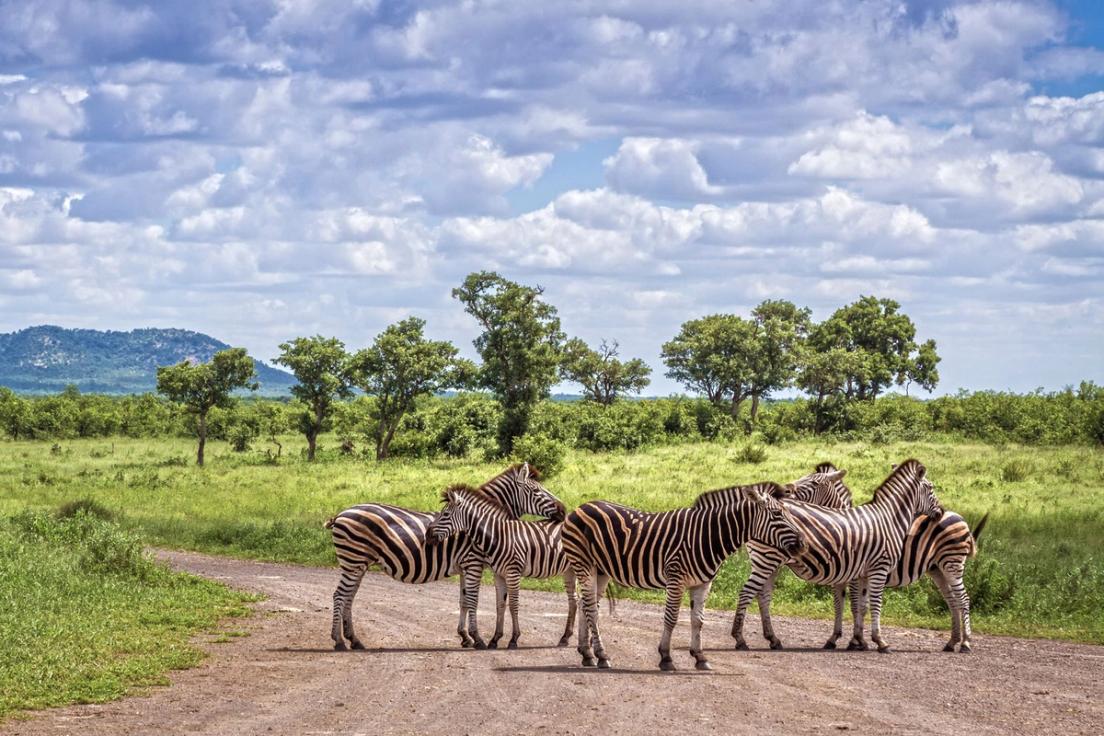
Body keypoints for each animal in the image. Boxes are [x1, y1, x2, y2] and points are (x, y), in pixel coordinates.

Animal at [320, 465, 560, 648]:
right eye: (537, 491)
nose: (563, 509)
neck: (481, 525)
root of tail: (340, 514)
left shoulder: (465, 566)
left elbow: (463, 600)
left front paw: (464, 637)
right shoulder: (473, 563)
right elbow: (473, 600)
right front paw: (477, 638)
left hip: (358, 564)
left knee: (349, 597)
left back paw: (353, 640)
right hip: (353, 561)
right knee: (340, 595)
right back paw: (339, 641)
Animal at [423, 485, 596, 648]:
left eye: (445, 515)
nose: (427, 535)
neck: (498, 536)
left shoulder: (513, 572)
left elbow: (513, 604)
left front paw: (513, 639)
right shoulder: (498, 574)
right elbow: (500, 605)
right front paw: (494, 639)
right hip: (569, 570)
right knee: (574, 600)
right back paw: (565, 637)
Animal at [565, 483, 808, 675]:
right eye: (777, 515)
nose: (804, 544)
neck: (707, 536)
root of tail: (581, 507)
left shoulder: (703, 583)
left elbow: (697, 621)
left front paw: (700, 657)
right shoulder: (676, 579)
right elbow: (671, 618)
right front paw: (666, 657)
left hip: (601, 571)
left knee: (586, 605)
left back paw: (587, 654)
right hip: (584, 565)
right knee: (590, 608)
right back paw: (602, 655)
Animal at [733, 456, 940, 653]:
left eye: (814, 482)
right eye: (931, 487)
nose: (940, 512)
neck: (889, 519)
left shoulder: (855, 572)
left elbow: (855, 605)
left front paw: (854, 640)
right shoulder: (876, 568)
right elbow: (868, 604)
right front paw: (874, 641)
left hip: (770, 562)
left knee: (763, 596)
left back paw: (773, 639)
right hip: (767, 559)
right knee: (747, 592)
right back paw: (740, 638)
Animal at [790, 463, 989, 653]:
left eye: (814, 483)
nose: (788, 490)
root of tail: (959, 517)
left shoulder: (855, 576)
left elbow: (856, 606)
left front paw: (857, 641)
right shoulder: (844, 576)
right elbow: (840, 605)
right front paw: (837, 638)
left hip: (951, 563)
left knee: (963, 599)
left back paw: (965, 643)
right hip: (937, 569)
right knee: (952, 600)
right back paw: (952, 642)